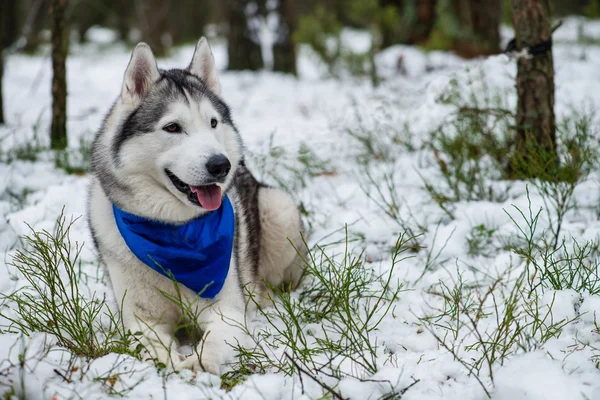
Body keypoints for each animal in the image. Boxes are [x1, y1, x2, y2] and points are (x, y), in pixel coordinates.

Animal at [88, 39, 304, 374]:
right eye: (172, 127)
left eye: (213, 123)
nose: (221, 165)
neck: (175, 231)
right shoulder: (139, 319)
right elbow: (153, 346)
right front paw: (170, 362)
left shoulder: (227, 311)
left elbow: (214, 343)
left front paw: (196, 365)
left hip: (280, 210)